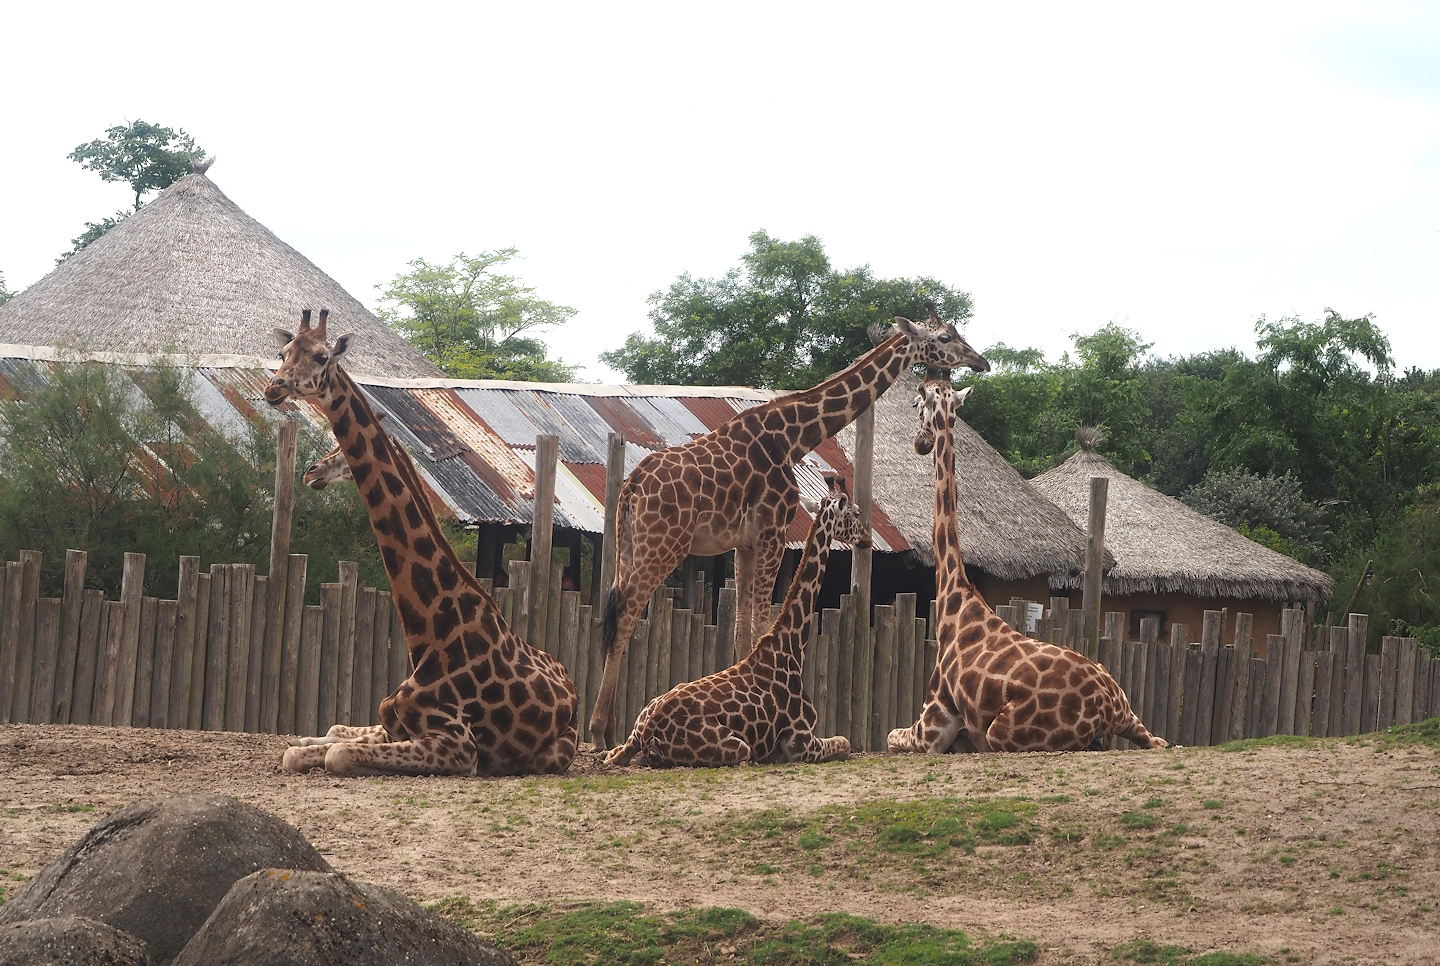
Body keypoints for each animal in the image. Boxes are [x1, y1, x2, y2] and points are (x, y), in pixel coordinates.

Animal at [264, 309, 578, 776]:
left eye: (320, 356)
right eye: (282, 352)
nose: (274, 387)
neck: (428, 635)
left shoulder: (460, 746)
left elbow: (336, 753)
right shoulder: (393, 725)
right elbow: (302, 749)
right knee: (334, 729)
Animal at [605, 478, 867, 767]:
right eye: (856, 513)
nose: (866, 539)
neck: (792, 648)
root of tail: (649, 731)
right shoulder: (801, 742)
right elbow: (845, 741)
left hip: (637, 727)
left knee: (612, 755)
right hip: (740, 748)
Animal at [888, 377, 1168, 754]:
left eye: (917, 407)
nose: (919, 443)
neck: (955, 603)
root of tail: (1107, 706)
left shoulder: (932, 727)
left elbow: (890, 735)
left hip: (1000, 735)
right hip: (1132, 715)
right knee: (1162, 741)